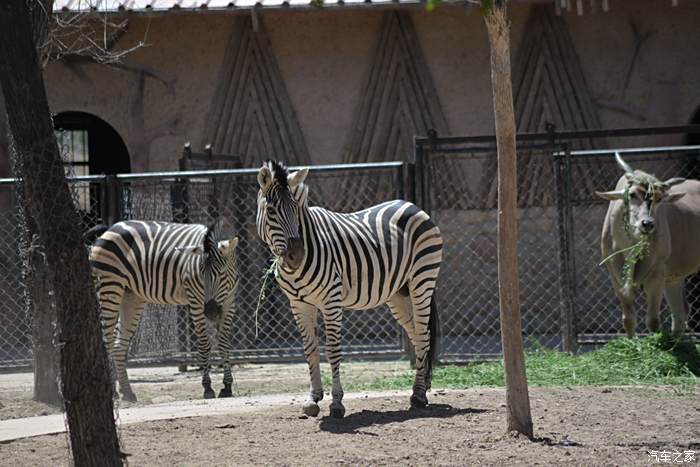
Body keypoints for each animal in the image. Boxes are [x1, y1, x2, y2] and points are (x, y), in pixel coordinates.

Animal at [86, 220, 241, 402]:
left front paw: (227, 386)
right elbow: (204, 345)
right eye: (201, 274)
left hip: (131, 296)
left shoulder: (229, 303)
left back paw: (127, 392)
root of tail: (110, 228)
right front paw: (208, 387)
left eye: (222, 273)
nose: (210, 311)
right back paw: (112, 392)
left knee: (119, 345)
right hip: (110, 286)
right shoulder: (196, 300)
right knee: (106, 341)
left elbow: (224, 344)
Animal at [258, 162, 442, 420]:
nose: (297, 255)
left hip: (422, 280)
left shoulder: (330, 301)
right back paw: (422, 389)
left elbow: (332, 350)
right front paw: (312, 398)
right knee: (417, 336)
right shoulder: (299, 304)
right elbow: (310, 350)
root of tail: (413, 206)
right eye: (271, 210)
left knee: (424, 336)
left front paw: (336, 403)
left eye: (296, 210)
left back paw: (417, 396)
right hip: (398, 293)